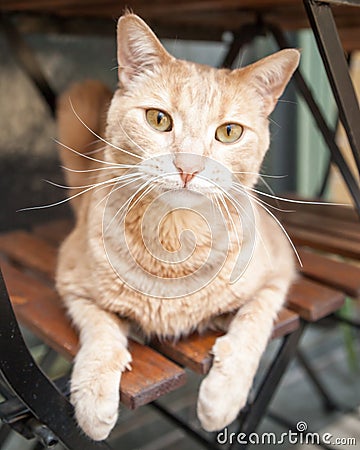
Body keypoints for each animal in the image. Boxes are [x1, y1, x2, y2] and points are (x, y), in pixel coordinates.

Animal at [55, 12, 298, 442]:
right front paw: (94, 398)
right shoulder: (70, 283)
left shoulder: (278, 277)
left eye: (229, 132)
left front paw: (221, 397)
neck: (175, 240)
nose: (188, 168)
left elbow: (251, 327)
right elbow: (101, 334)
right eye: (158, 119)